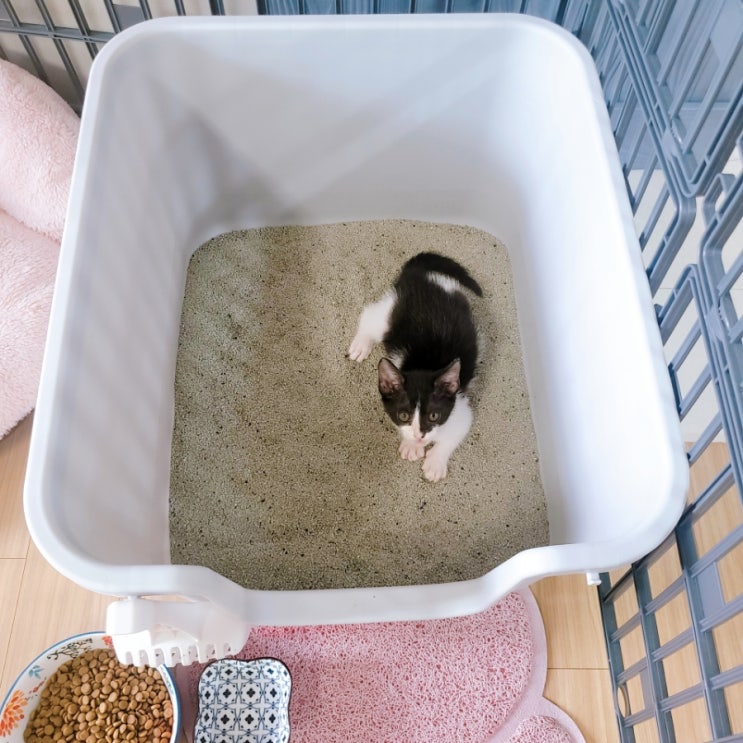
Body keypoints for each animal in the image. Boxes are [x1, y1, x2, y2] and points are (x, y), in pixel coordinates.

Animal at [349, 252, 482, 482]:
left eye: (434, 416)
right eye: (404, 415)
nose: (420, 436)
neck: (424, 365)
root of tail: (418, 275)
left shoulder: (460, 408)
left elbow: (453, 435)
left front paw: (435, 462)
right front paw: (411, 446)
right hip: (390, 312)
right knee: (370, 316)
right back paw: (361, 344)